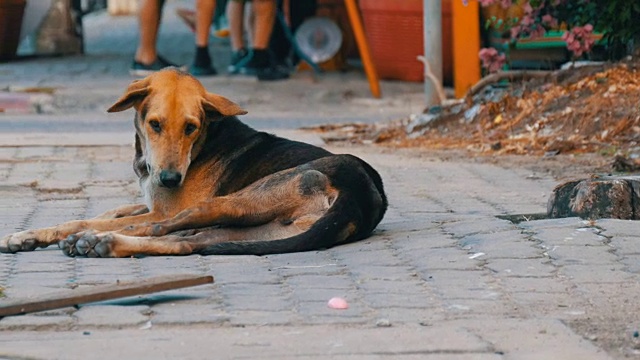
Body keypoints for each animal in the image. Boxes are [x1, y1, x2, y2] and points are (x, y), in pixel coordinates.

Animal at [0, 68, 384, 258]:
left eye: (191, 127)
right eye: (155, 124)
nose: (170, 179)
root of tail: (362, 197)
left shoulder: (162, 209)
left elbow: (104, 219)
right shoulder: (150, 201)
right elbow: (105, 212)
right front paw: (27, 236)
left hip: (232, 201)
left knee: (162, 229)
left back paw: (96, 240)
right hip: (254, 229)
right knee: (187, 243)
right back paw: (103, 245)